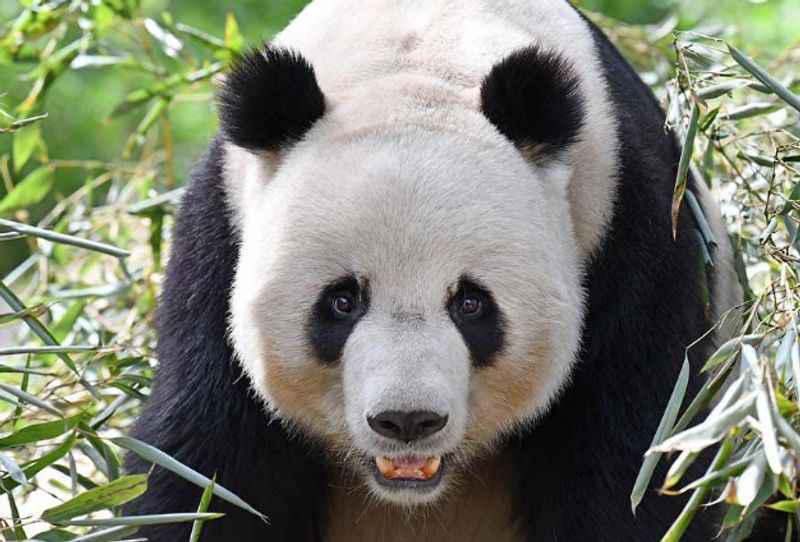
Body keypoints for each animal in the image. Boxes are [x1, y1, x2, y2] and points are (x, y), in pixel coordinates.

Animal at [125, 1, 744, 542]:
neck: (418, 59)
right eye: (342, 301)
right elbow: (206, 465)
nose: (406, 421)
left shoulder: (631, 233)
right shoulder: (220, 240)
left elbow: (635, 460)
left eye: (471, 303)